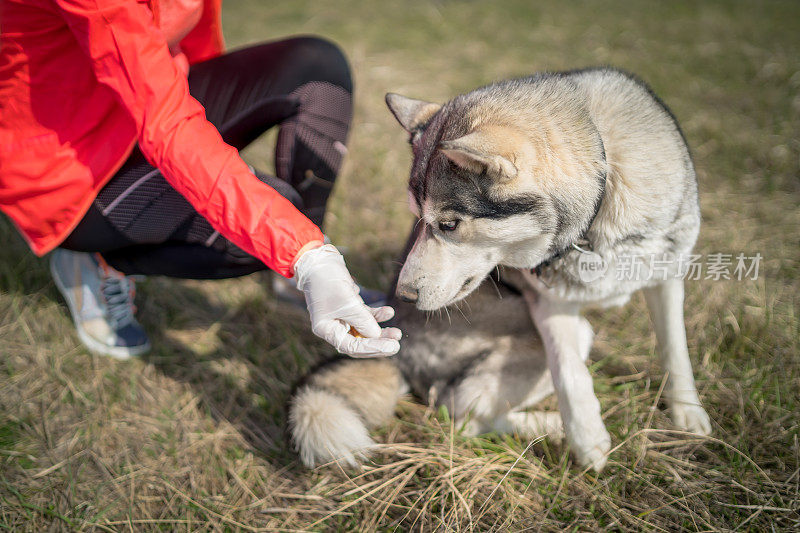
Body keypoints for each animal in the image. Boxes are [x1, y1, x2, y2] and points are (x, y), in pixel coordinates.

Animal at [290, 66, 712, 470]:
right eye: (417, 218)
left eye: (448, 225)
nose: (403, 295)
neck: (602, 191)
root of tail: (401, 350)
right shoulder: (550, 304)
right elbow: (570, 373)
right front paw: (587, 438)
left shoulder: (668, 274)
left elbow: (676, 349)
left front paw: (687, 414)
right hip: (566, 335)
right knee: (459, 412)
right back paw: (551, 428)